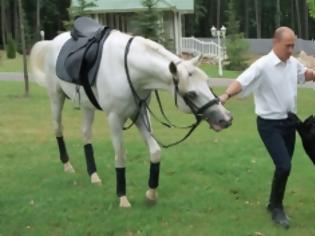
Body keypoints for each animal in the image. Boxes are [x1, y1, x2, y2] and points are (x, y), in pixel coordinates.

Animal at [29, 24, 233, 207]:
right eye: (191, 94)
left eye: (207, 82)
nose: (226, 118)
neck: (130, 70)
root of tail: (53, 42)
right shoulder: (114, 118)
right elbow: (120, 156)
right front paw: (122, 197)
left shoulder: (139, 115)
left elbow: (155, 152)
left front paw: (151, 194)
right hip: (56, 97)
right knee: (58, 128)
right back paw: (67, 165)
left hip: (87, 107)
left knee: (85, 134)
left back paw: (94, 175)